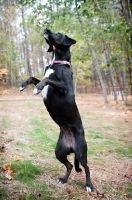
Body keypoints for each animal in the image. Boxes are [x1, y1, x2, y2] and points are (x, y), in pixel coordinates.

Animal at [19, 28, 93, 192]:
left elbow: (47, 80)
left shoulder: (63, 87)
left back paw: (89, 185)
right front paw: (23, 85)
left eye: (58, 34)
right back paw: (63, 180)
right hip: (59, 151)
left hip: (81, 151)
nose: (46, 29)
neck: (57, 63)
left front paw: (37, 89)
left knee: (86, 167)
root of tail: (71, 146)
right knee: (70, 165)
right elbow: (33, 77)